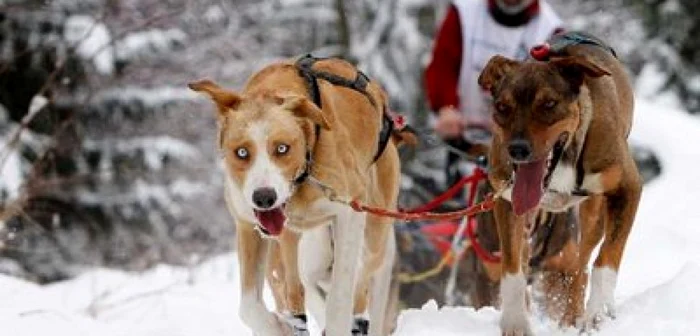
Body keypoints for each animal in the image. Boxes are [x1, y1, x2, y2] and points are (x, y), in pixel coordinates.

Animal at [189, 56, 402, 334]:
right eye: (242, 152)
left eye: (282, 148)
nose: (264, 197)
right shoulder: (247, 225)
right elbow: (249, 307)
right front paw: (276, 327)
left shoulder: (349, 212)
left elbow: (340, 298)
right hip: (290, 242)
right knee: (293, 284)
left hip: (374, 232)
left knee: (362, 279)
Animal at [478, 32, 644, 334]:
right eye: (502, 107)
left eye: (548, 104)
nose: (517, 149)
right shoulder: (507, 199)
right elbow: (512, 269)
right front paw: (516, 322)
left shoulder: (629, 188)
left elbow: (607, 258)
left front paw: (597, 311)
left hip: (593, 215)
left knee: (582, 265)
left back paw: (575, 315)